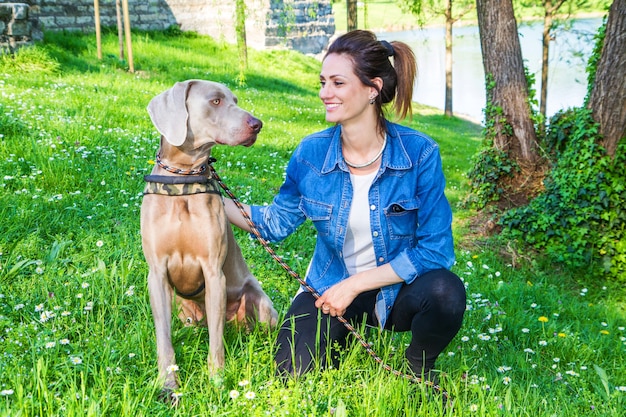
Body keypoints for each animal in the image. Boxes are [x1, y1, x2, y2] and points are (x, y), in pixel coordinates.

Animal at [143, 79, 280, 402]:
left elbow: (216, 343)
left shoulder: (214, 272)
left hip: (262, 305)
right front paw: (168, 385)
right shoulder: (156, 274)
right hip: (183, 309)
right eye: (215, 101)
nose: (257, 124)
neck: (183, 180)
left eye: (235, 100)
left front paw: (217, 382)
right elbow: (164, 339)